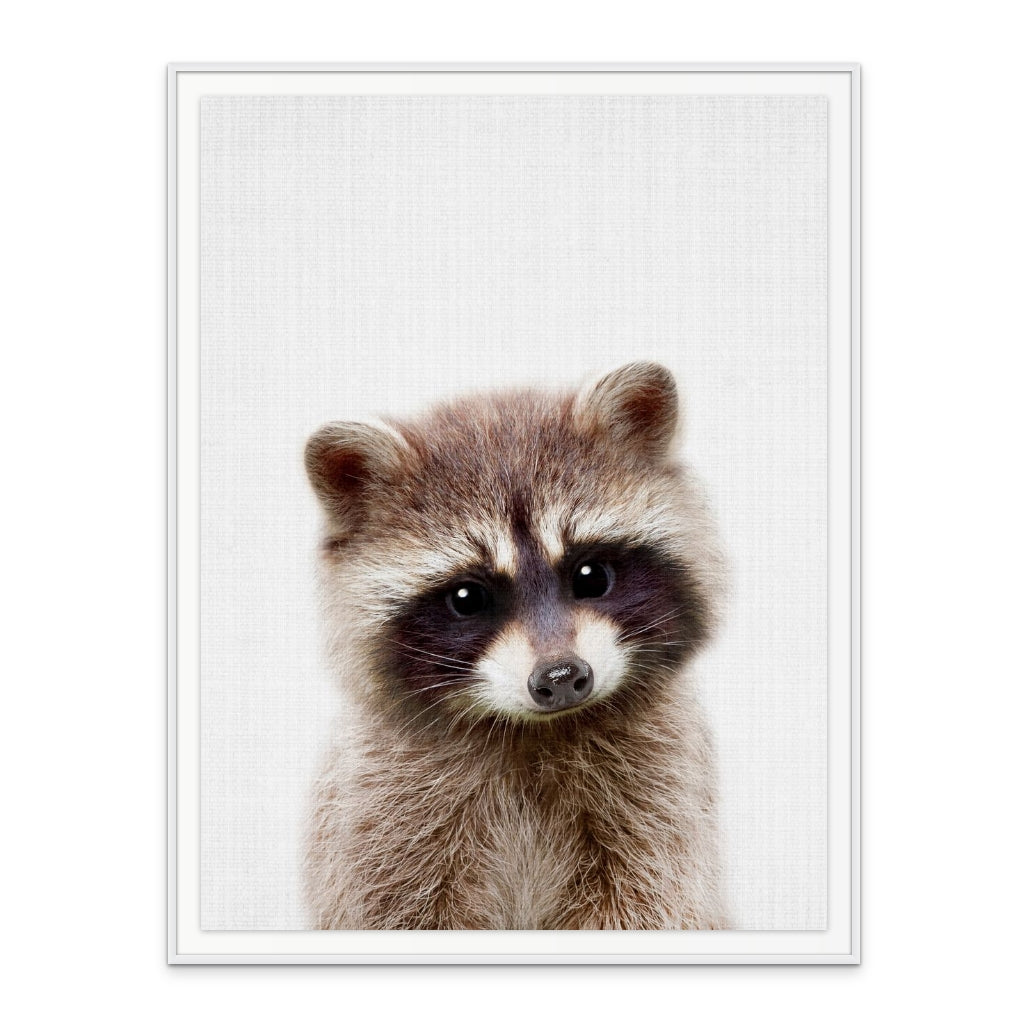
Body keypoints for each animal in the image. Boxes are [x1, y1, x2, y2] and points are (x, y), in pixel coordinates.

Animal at [303, 362, 729, 930]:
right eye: (467, 597)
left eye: (591, 576)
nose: (561, 677)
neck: (533, 731)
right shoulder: (379, 813)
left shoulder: (661, 796)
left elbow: (649, 899)